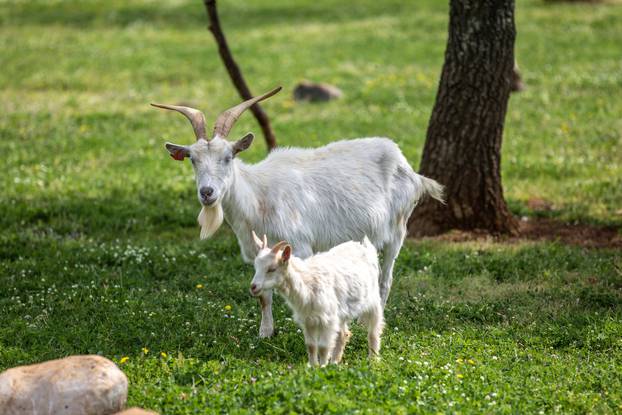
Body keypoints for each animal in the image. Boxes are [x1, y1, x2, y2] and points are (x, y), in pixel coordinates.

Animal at [154, 87, 446, 338]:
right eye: (193, 160)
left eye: (228, 157)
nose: (207, 192)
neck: (258, 195)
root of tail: (408, 168)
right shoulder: (259, 252)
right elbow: (264, 295)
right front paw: (265, 333)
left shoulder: (301, 246)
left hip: (397, 230)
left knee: (385, 280)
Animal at [249, 232, 386, 366]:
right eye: (255, 267)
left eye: (271, 269)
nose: (253, 287)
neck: (306, 282)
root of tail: (366, 247)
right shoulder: (308, 320)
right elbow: (311, 346)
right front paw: (313, 367)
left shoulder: (327, 320)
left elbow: (323, 347)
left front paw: (323, 367)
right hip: (341, 311)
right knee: (343, 334)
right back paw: (335, 362)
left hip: (373, 300)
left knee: (373, 331)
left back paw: (373, 359)